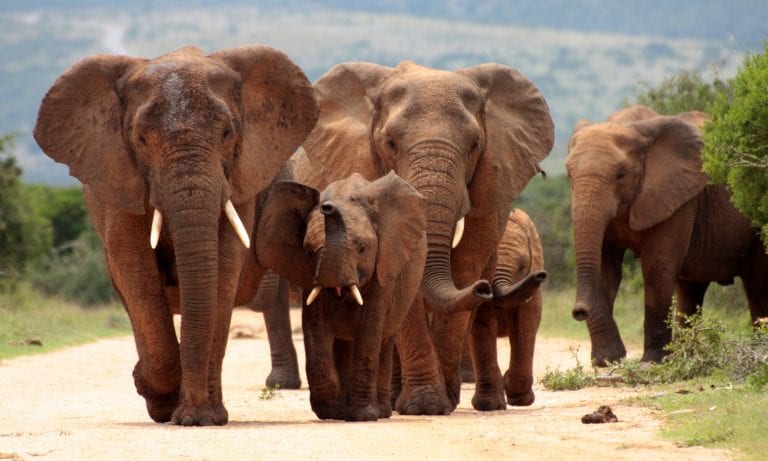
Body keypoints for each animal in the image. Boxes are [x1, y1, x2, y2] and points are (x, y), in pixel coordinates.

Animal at [33, 45, 318, 425]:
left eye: (227, 133)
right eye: (140, 139)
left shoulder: (240, 181)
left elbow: (222, 271)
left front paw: (200, 418)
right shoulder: (118, 181)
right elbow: (136, 272)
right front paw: (158, 398)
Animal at [256, 172, 428, 421]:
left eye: (362, 248)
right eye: (308, 251)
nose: (327, 207)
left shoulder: (383, 269)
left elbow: (369, 328)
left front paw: (363, 416)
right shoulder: (310, 276)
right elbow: (315, 328)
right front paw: (331, 412)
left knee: (385, 339)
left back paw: (382, 411)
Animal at [300, 60, 554, 413]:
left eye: (475, 146)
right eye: (390, 143)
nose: (485, 287)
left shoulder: (489, 186)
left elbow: (465, 266)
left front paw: (441, 403)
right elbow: (407, 279)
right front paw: (425, 406)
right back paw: (394, 401)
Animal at [566, 105, 768, 365]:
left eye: (621, 175)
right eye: (568, 175)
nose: (578, 312)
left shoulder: (676, 198)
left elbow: (658, 266)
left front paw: (651, 362)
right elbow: (604, 267)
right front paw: (608, 360)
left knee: (758, 284)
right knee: (691, 290)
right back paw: (686, 356)